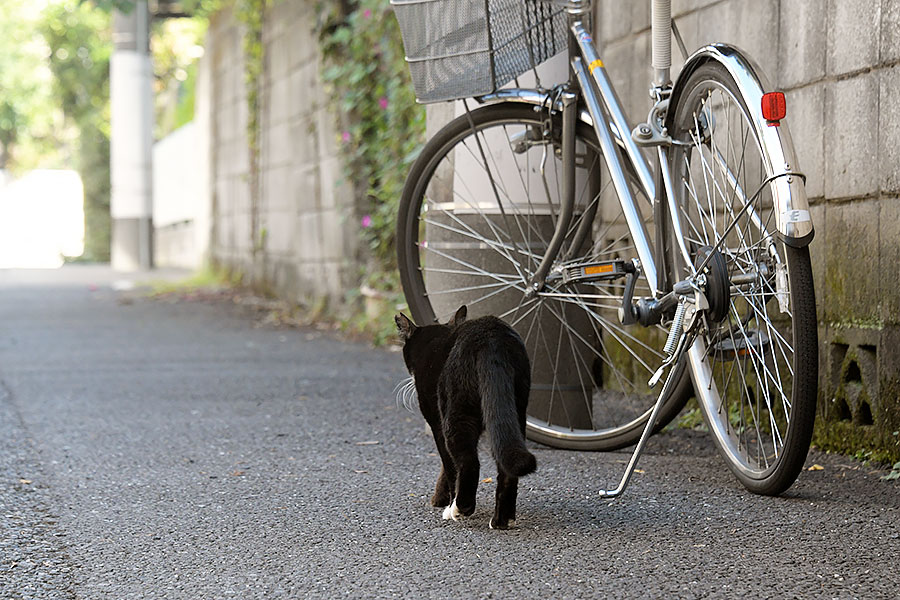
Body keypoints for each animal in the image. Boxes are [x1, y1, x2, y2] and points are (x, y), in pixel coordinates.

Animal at [394, 308, 536, 528]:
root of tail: (492, 341)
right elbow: (446, 467)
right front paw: (440, 497)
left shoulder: (437, 423)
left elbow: (449, 466)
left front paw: (446, 500)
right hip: (514, 409)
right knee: (506, 465)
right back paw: (501, 520)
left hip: (456, 412)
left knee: (469, 462)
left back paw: (460, 508)